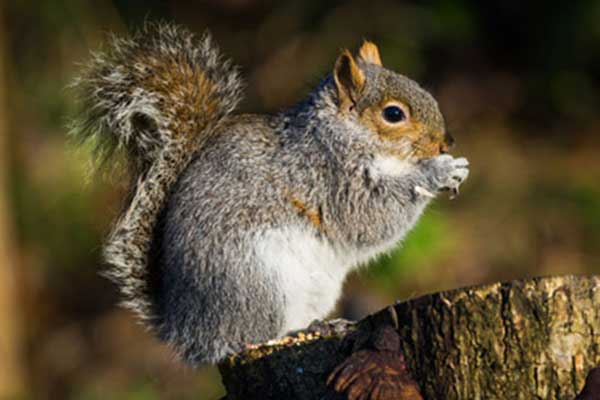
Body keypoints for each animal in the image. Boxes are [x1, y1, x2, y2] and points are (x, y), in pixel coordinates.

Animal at [72, 21, 468, 366]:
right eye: (393, 114)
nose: (446, 142)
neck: (342, 134)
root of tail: (185, 329)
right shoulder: (329, 178)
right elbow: (371, 217)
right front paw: (438, 171)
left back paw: (323, 325)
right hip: (258, 282)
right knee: (244, 338)